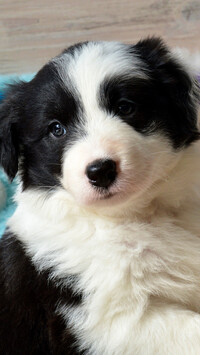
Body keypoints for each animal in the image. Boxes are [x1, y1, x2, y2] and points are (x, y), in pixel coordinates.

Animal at [0, 37, 200, 354]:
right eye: (56, 129)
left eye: (125, 107)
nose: (100, 170)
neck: (134, 216)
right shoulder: (112, 322)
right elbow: (190, 331)